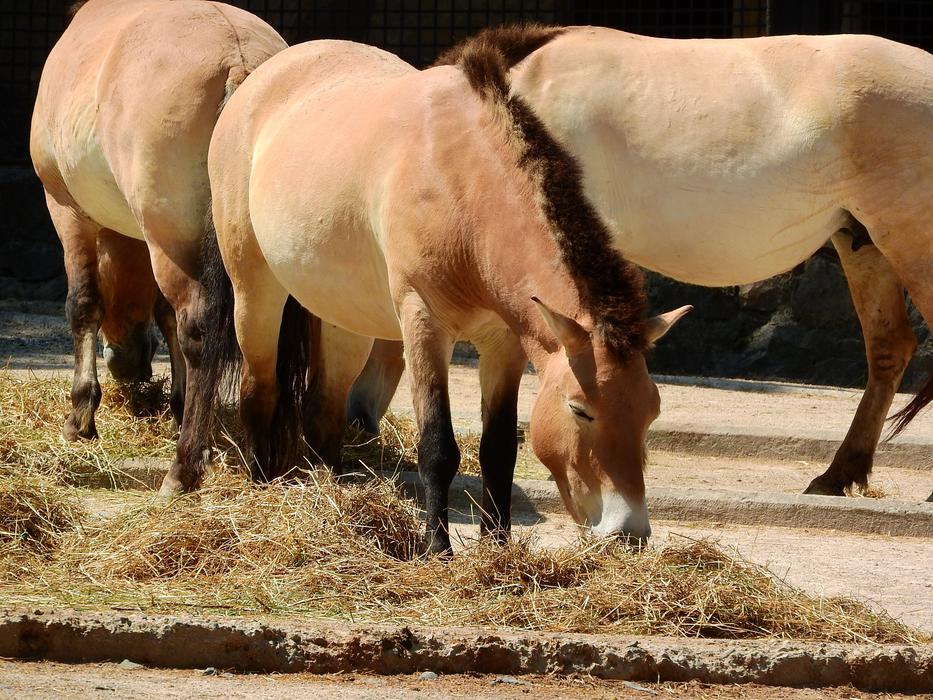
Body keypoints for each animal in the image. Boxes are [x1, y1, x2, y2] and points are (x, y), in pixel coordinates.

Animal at [30, 0, 286, 467]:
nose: (127, 364)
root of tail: (239, 58)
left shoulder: (67, 211)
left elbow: (84, 304)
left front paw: (81, 416)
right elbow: (166, 316)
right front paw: (178, 407)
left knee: (198, 330)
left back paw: (186, 462)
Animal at [198, 36, 690, 553]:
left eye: (652, 411)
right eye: (579, 409)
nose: (629, 531)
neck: (462, 181)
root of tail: (257, 81)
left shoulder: (503, 343)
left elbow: (498, 449)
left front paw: (498, 546)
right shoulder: (424, 325)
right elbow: (437, 446)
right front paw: (438, 549)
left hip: (343, 319)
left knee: (323, 411)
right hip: (255, 291)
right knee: (259, 390)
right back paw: (260, 491)